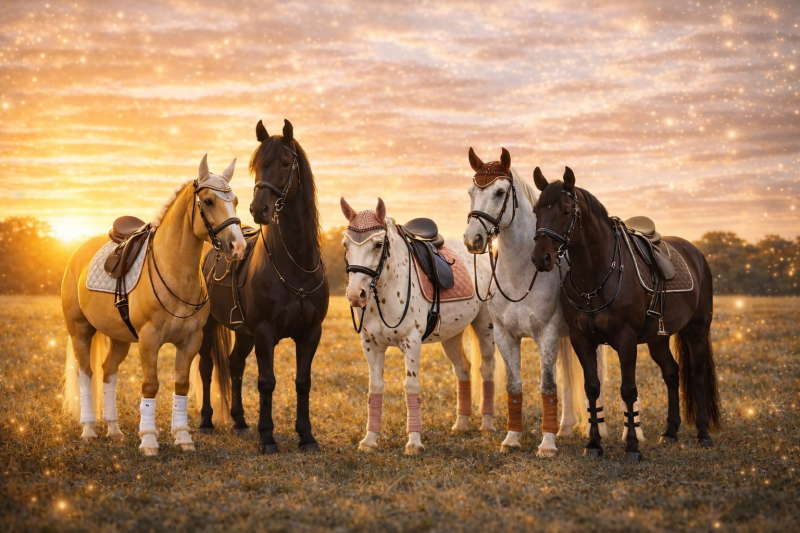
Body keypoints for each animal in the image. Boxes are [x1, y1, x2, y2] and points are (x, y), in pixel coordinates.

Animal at [62, 155, 246, 455]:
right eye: (208, 201)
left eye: (236, 201)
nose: (238, 246)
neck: (175, 273)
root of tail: (77, 252)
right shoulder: (149, 339)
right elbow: (150, 385)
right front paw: (148, 440)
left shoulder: (191, 341)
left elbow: (181, 385)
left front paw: (183, 437)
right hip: (80, 331)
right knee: (86, 373)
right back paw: (89, 429)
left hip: (119, 338)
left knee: (108, 372)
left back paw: (114, 429)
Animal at [191, 119, 329, 454]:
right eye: (256, 166)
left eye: (285, 163)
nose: (259, 209)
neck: (297, 265)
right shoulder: (266, 332)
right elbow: (267, 381)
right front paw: (267, 437)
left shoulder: (311, 333)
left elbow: (302, 382)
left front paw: (306, 436)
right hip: (210, 326)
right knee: (207, 368)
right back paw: (207, 421)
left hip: (244, 333)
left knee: (235, 365)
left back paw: (240, 421)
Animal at [340, 197, 497, 454]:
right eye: (346, 244)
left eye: (378, 244)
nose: (356, 294)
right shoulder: (370, 345)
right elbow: (375, 387)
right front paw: (370, 440)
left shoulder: (411, 342)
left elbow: (411, 387)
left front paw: (414, 443)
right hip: (451, 335)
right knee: (463, 369)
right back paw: (461, 424)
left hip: (485, 325)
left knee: (486, 369)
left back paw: (487, 424)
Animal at [462, 148, 605, 456]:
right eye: (471, 191)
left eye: (500, 192)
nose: (473, 240)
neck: (520, 274)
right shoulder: (505, 336)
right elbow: (515, 387)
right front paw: (511, 438)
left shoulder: (547, 334)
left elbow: (547, 386)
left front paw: (547, 445)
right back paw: (565, 427)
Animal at [530, 166, 721, 462]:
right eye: (536, 210)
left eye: (566, 211)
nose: (541, 258)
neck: (595, 274)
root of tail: (696, 254)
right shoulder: (581, 340)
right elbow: (592, 388)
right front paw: (594, 444)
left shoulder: (626, 340)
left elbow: (628, 390)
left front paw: (632, 446)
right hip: (657, 338)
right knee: (672, 373)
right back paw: (670, 432)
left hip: (697, 331)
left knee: (698, 378)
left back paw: (703, 435)